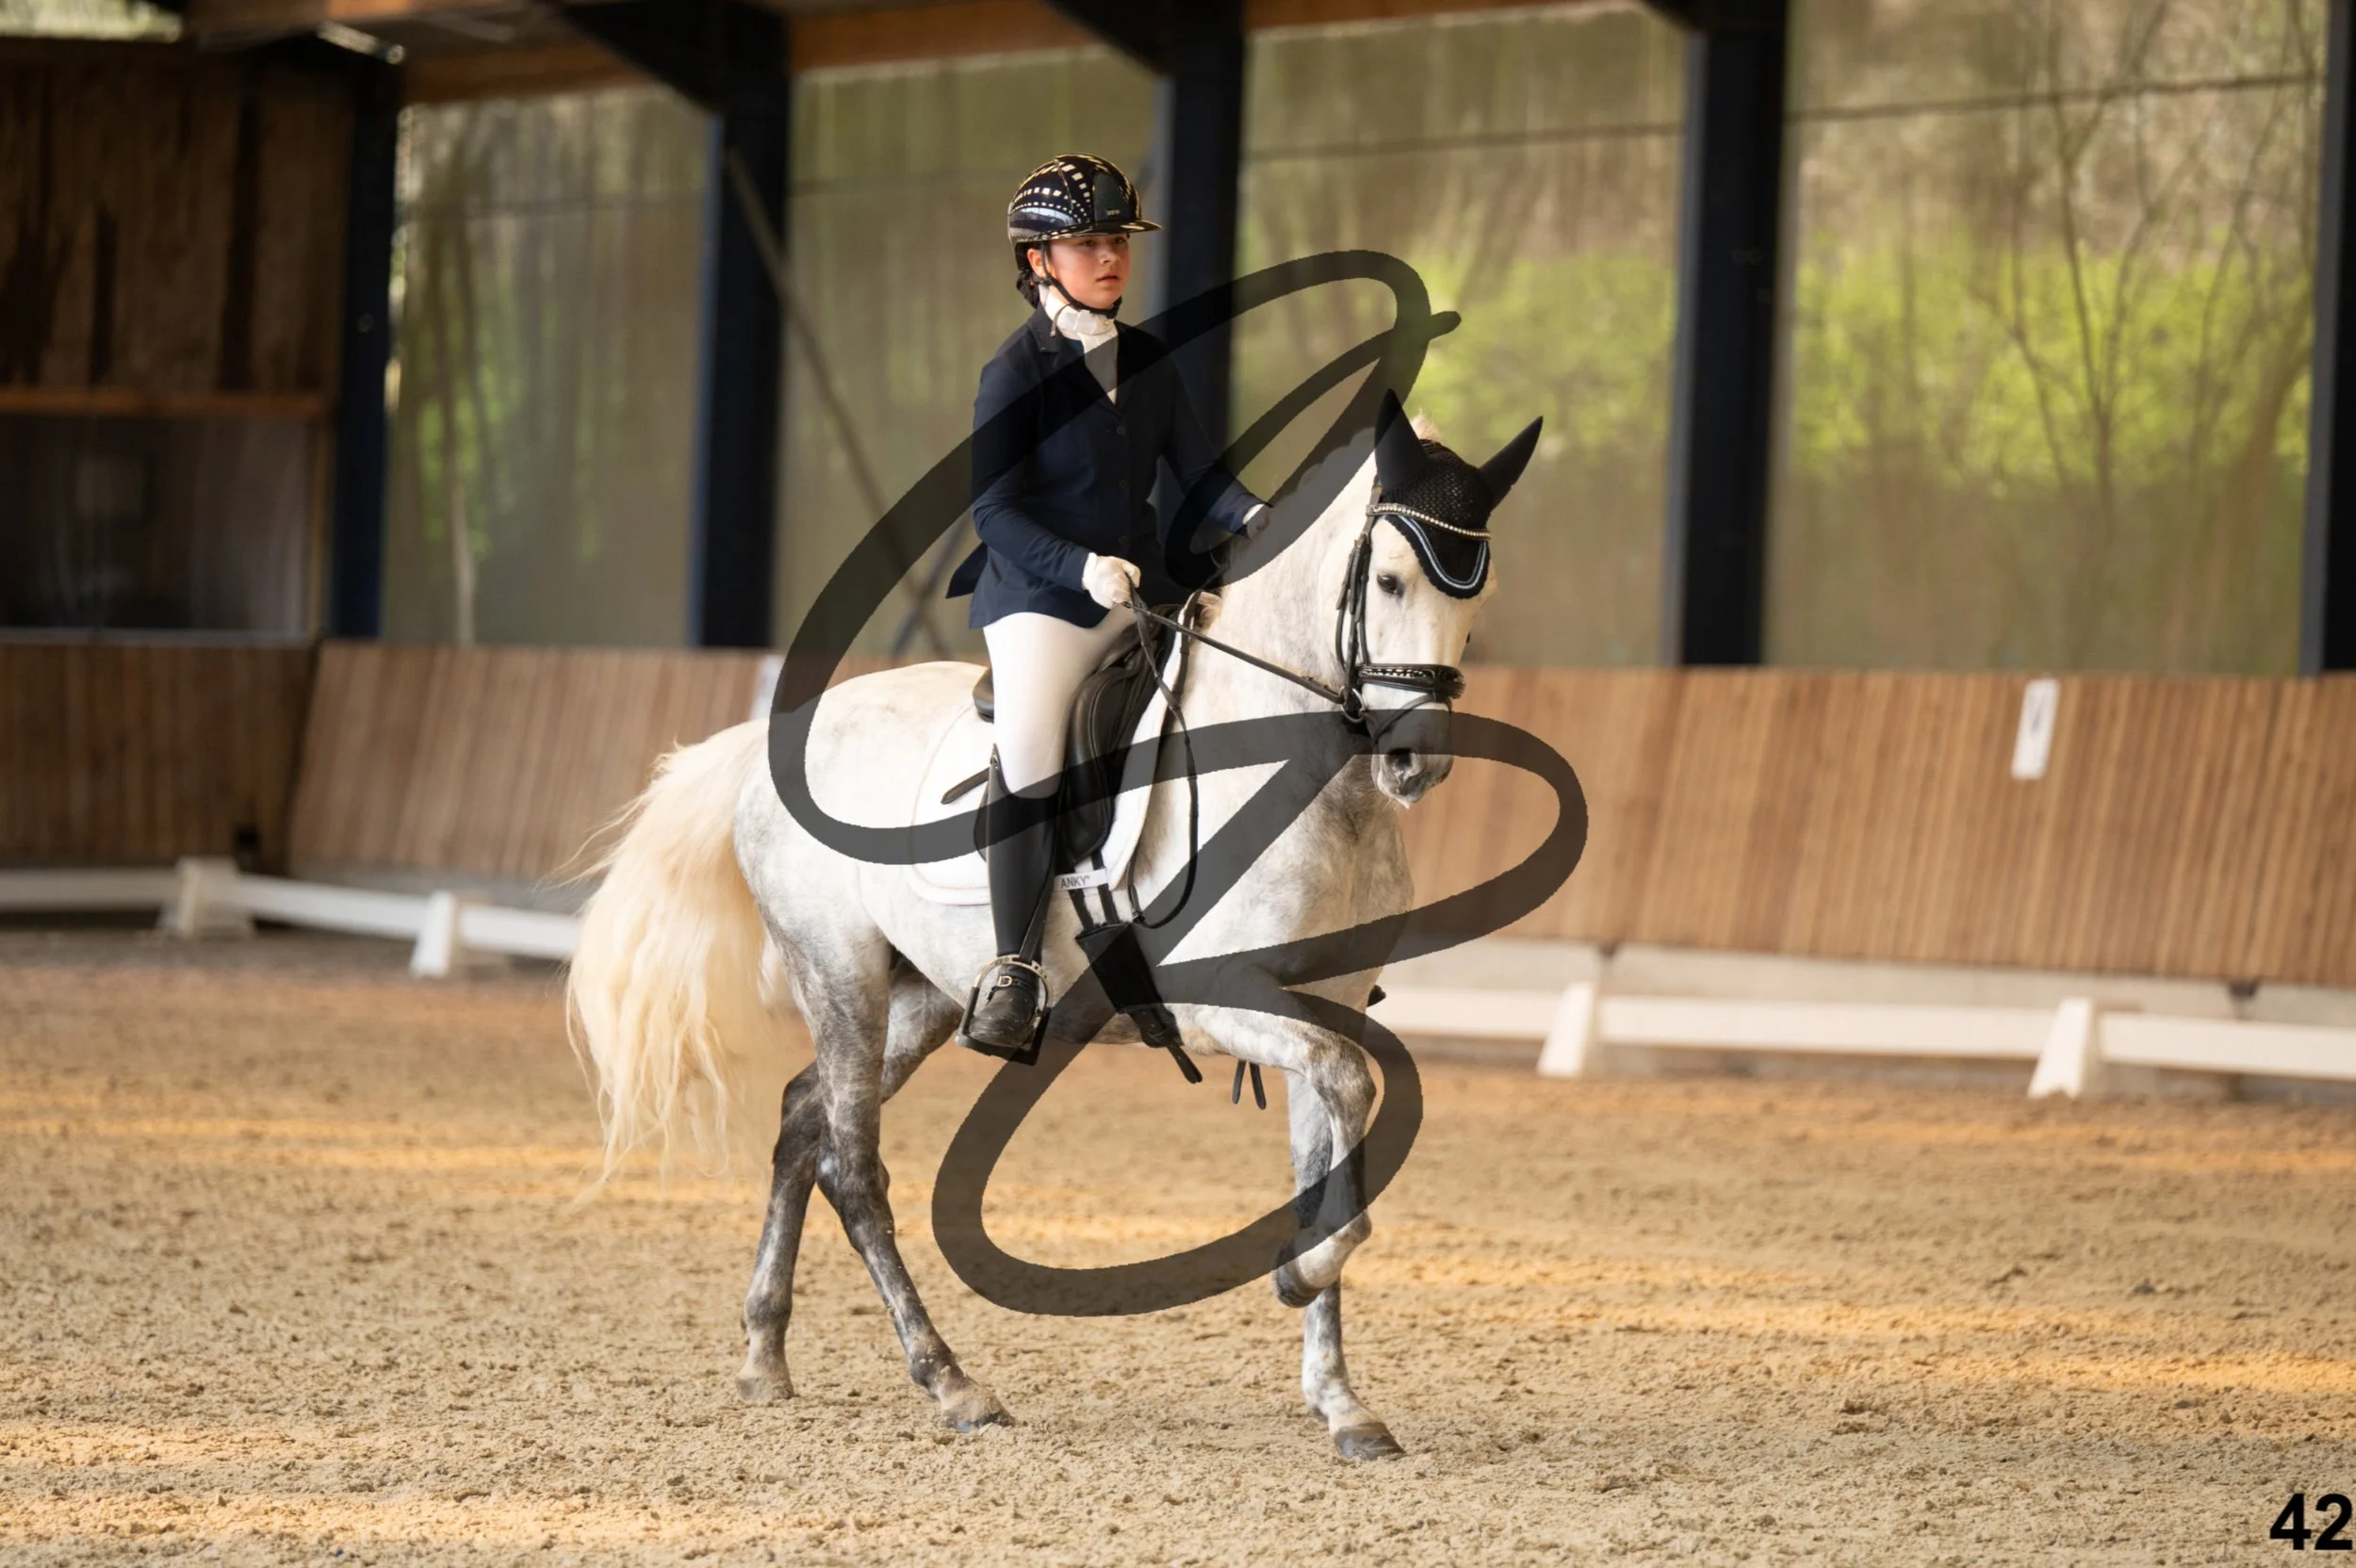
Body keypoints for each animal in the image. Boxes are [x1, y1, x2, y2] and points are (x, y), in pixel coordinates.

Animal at [565, 390, 1541, 1461]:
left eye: (1478, 593)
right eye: (1392, 579)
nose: (1416, 762)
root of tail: (771, 743)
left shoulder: (1318, 1003)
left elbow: (1330, 1135)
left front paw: (1341, 1400)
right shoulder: (1223, 1000)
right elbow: (1352, 1089)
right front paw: (1300, 1272)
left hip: (921, 997)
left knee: (799, 1120)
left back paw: (764, 1356)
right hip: (840, 978)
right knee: (851, 1167)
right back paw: (951, 1381)